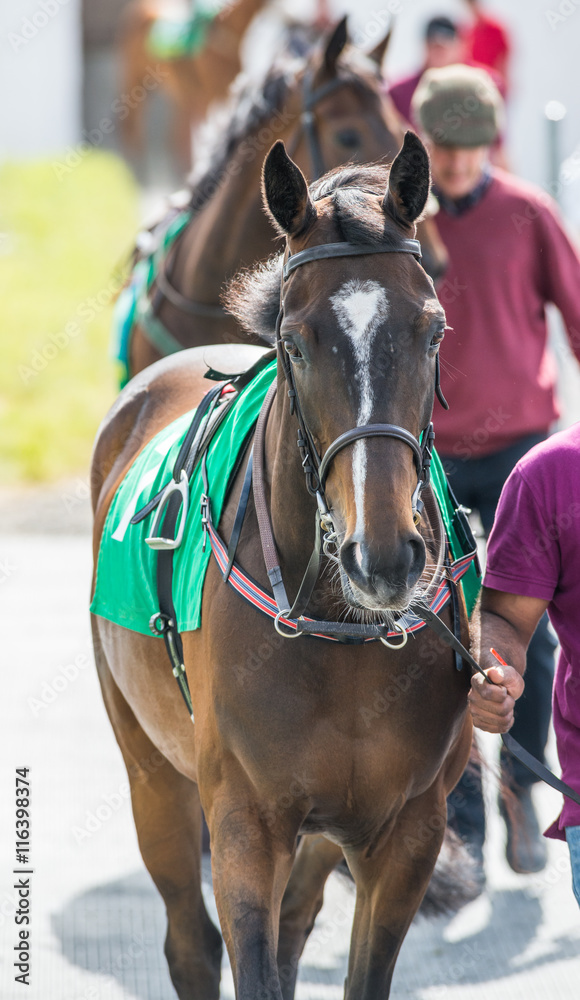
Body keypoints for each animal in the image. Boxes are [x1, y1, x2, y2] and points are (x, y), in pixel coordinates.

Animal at [91, 132, 473, 999]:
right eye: (295, 342)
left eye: (434, 331)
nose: (384, 556)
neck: (342, 629)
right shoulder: (243, 822)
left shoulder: (407, 831)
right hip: (150, 771)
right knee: (189, 941)